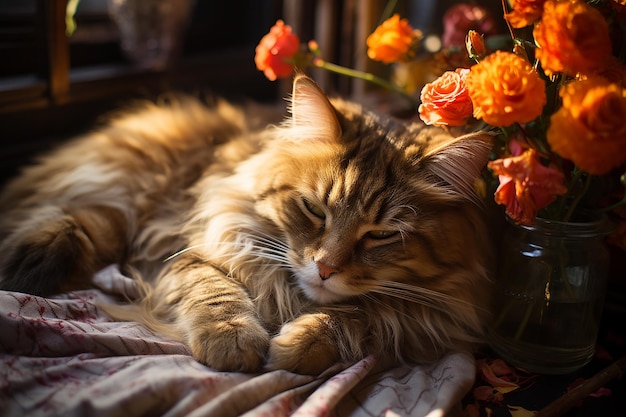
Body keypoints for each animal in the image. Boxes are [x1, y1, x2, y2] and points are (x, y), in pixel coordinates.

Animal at [0, 74, 492, 374]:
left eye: (382, 235)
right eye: (314, 209)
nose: (326, 268)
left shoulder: (424, 315)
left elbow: (358, 315)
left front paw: (297, 346)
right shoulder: (189, 249)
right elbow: (216, 293)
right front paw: (233, 343)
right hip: (131, 197)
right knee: (89, 220)